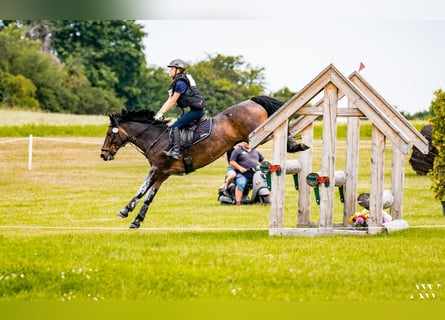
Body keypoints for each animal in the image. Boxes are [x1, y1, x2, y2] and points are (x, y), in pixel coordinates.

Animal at [99, 95, 306, 228]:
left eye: (109, 134)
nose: (103, 155)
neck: (156, 137)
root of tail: (252, 101)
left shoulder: (157, 168)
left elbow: (141, 190)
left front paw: (125, 211)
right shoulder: (163, 173)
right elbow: (150, 196)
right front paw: (137, 220)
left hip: (259, 132)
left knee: (277, 130)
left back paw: (294, 144)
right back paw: (298, 145)